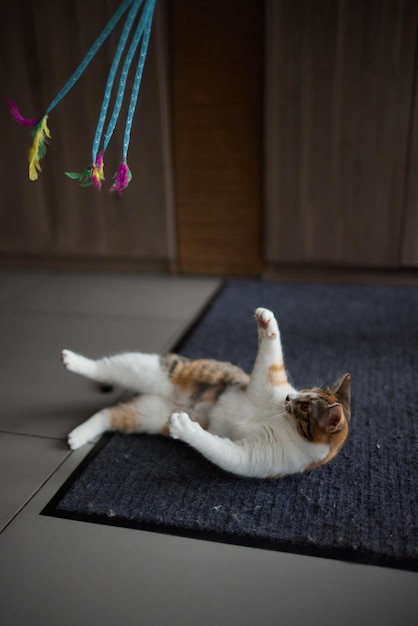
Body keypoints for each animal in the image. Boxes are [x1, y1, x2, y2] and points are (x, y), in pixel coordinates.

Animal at [61, 308, 350, 478]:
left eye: (305, 407)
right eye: (303, 391)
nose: (290, 399)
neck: (280, 419)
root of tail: (171, 398)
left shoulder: (255, 458)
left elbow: (220, 450)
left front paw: (184, 428)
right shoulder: (265, 382)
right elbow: (271, 354)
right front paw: (266, 321)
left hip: (148, 415)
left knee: (111, 413)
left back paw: (79, 434)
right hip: (160, 370)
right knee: (106, 370)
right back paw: (74, 361)